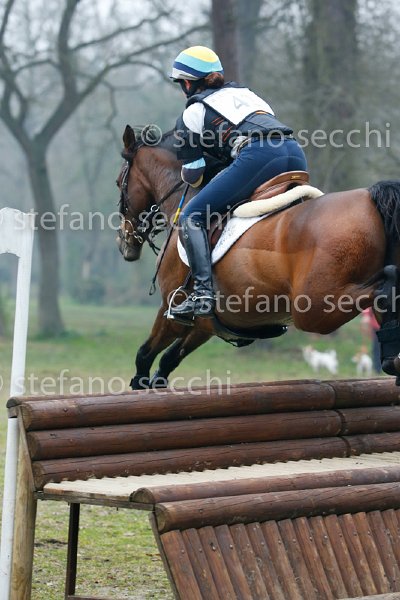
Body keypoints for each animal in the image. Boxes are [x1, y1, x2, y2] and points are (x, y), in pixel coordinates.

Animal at [116, 124, 400, 389]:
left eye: (120, 183)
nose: (123, 243)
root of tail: (370, 197)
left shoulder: (172, 309)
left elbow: (145, 353)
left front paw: (140, 383)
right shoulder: (207, 325)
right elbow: (169, 357)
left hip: (315, 308)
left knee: (382, 289)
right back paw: (392, 360)